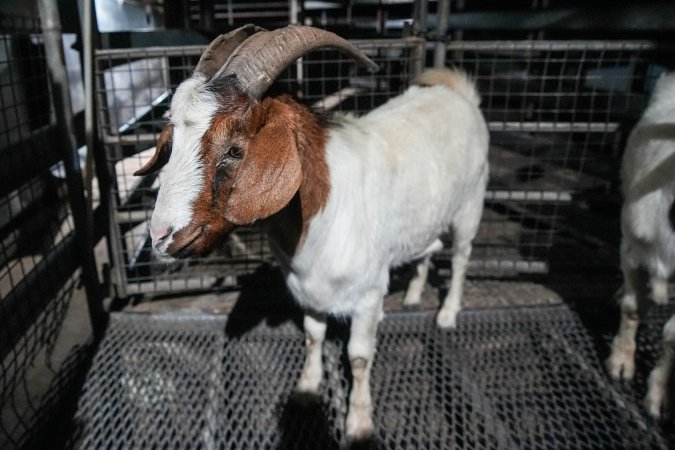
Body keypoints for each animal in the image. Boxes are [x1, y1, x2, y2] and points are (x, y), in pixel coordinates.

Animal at [135, 25, 488, 440]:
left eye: (235, 150)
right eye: (171, 144)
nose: (160, 236)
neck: (321, 215)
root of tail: (458, 93)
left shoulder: (368, 296)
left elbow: (359, 358)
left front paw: (359, 424)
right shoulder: (308, 290)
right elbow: (312, 335)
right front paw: (305, 391)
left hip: (470, 205)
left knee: (462, 256)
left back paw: (447, 314)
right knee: (427, 250)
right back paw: (415, 295)